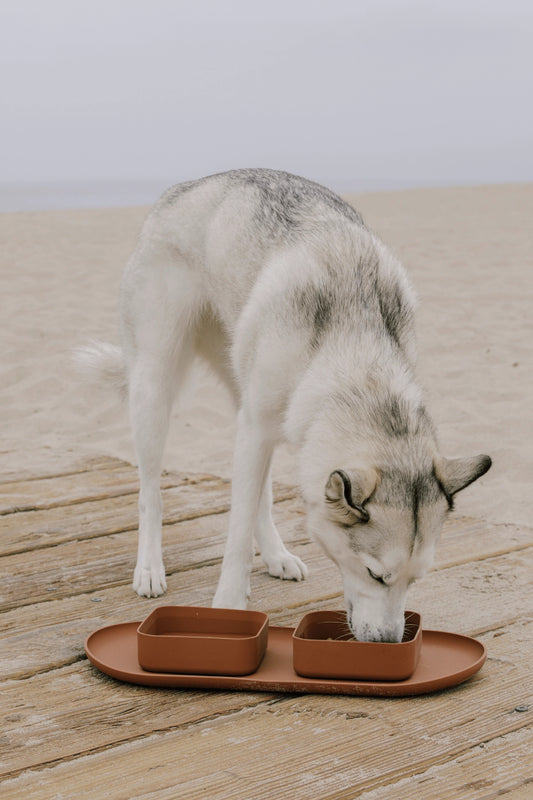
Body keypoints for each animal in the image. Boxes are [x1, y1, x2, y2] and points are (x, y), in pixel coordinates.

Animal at [76, 169, 490, 644]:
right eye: (375, 574)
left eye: (415, 579)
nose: (388, 643)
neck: (353, 345)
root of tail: (182, 188)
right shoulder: (255, 427)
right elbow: (236, 534)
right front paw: (228, 607)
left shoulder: (263, 425)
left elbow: (258, 499)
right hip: (155, 384)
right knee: (151, 493)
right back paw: (149, 566)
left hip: (244, 393)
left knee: (259, 494)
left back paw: (276, 555)